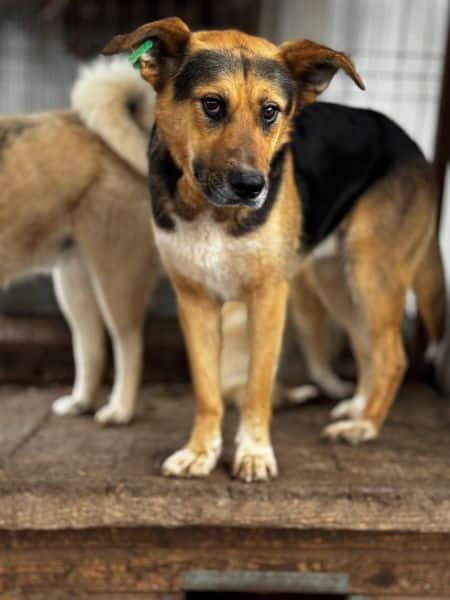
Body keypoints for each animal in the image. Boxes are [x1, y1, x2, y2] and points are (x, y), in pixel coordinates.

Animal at [0, 59, 161, 425]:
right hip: (74, 281)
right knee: (92, 347)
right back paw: (81, 402)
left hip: (116, 277)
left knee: (129, 344)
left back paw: (120, 410)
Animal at [103, 18, 446, 482]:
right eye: (212, 105)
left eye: (270, 112)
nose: (253, 187)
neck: (214, 213)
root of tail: (410, 144)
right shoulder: (194, 300)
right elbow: (208, 390)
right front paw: (201, 452)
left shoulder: (268, 298)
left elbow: (256, 387)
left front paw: (253, 453)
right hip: (338, 281)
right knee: (369, 346)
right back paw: (357, 408)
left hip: (372, 273)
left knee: (392, 356)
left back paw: (364, 426)